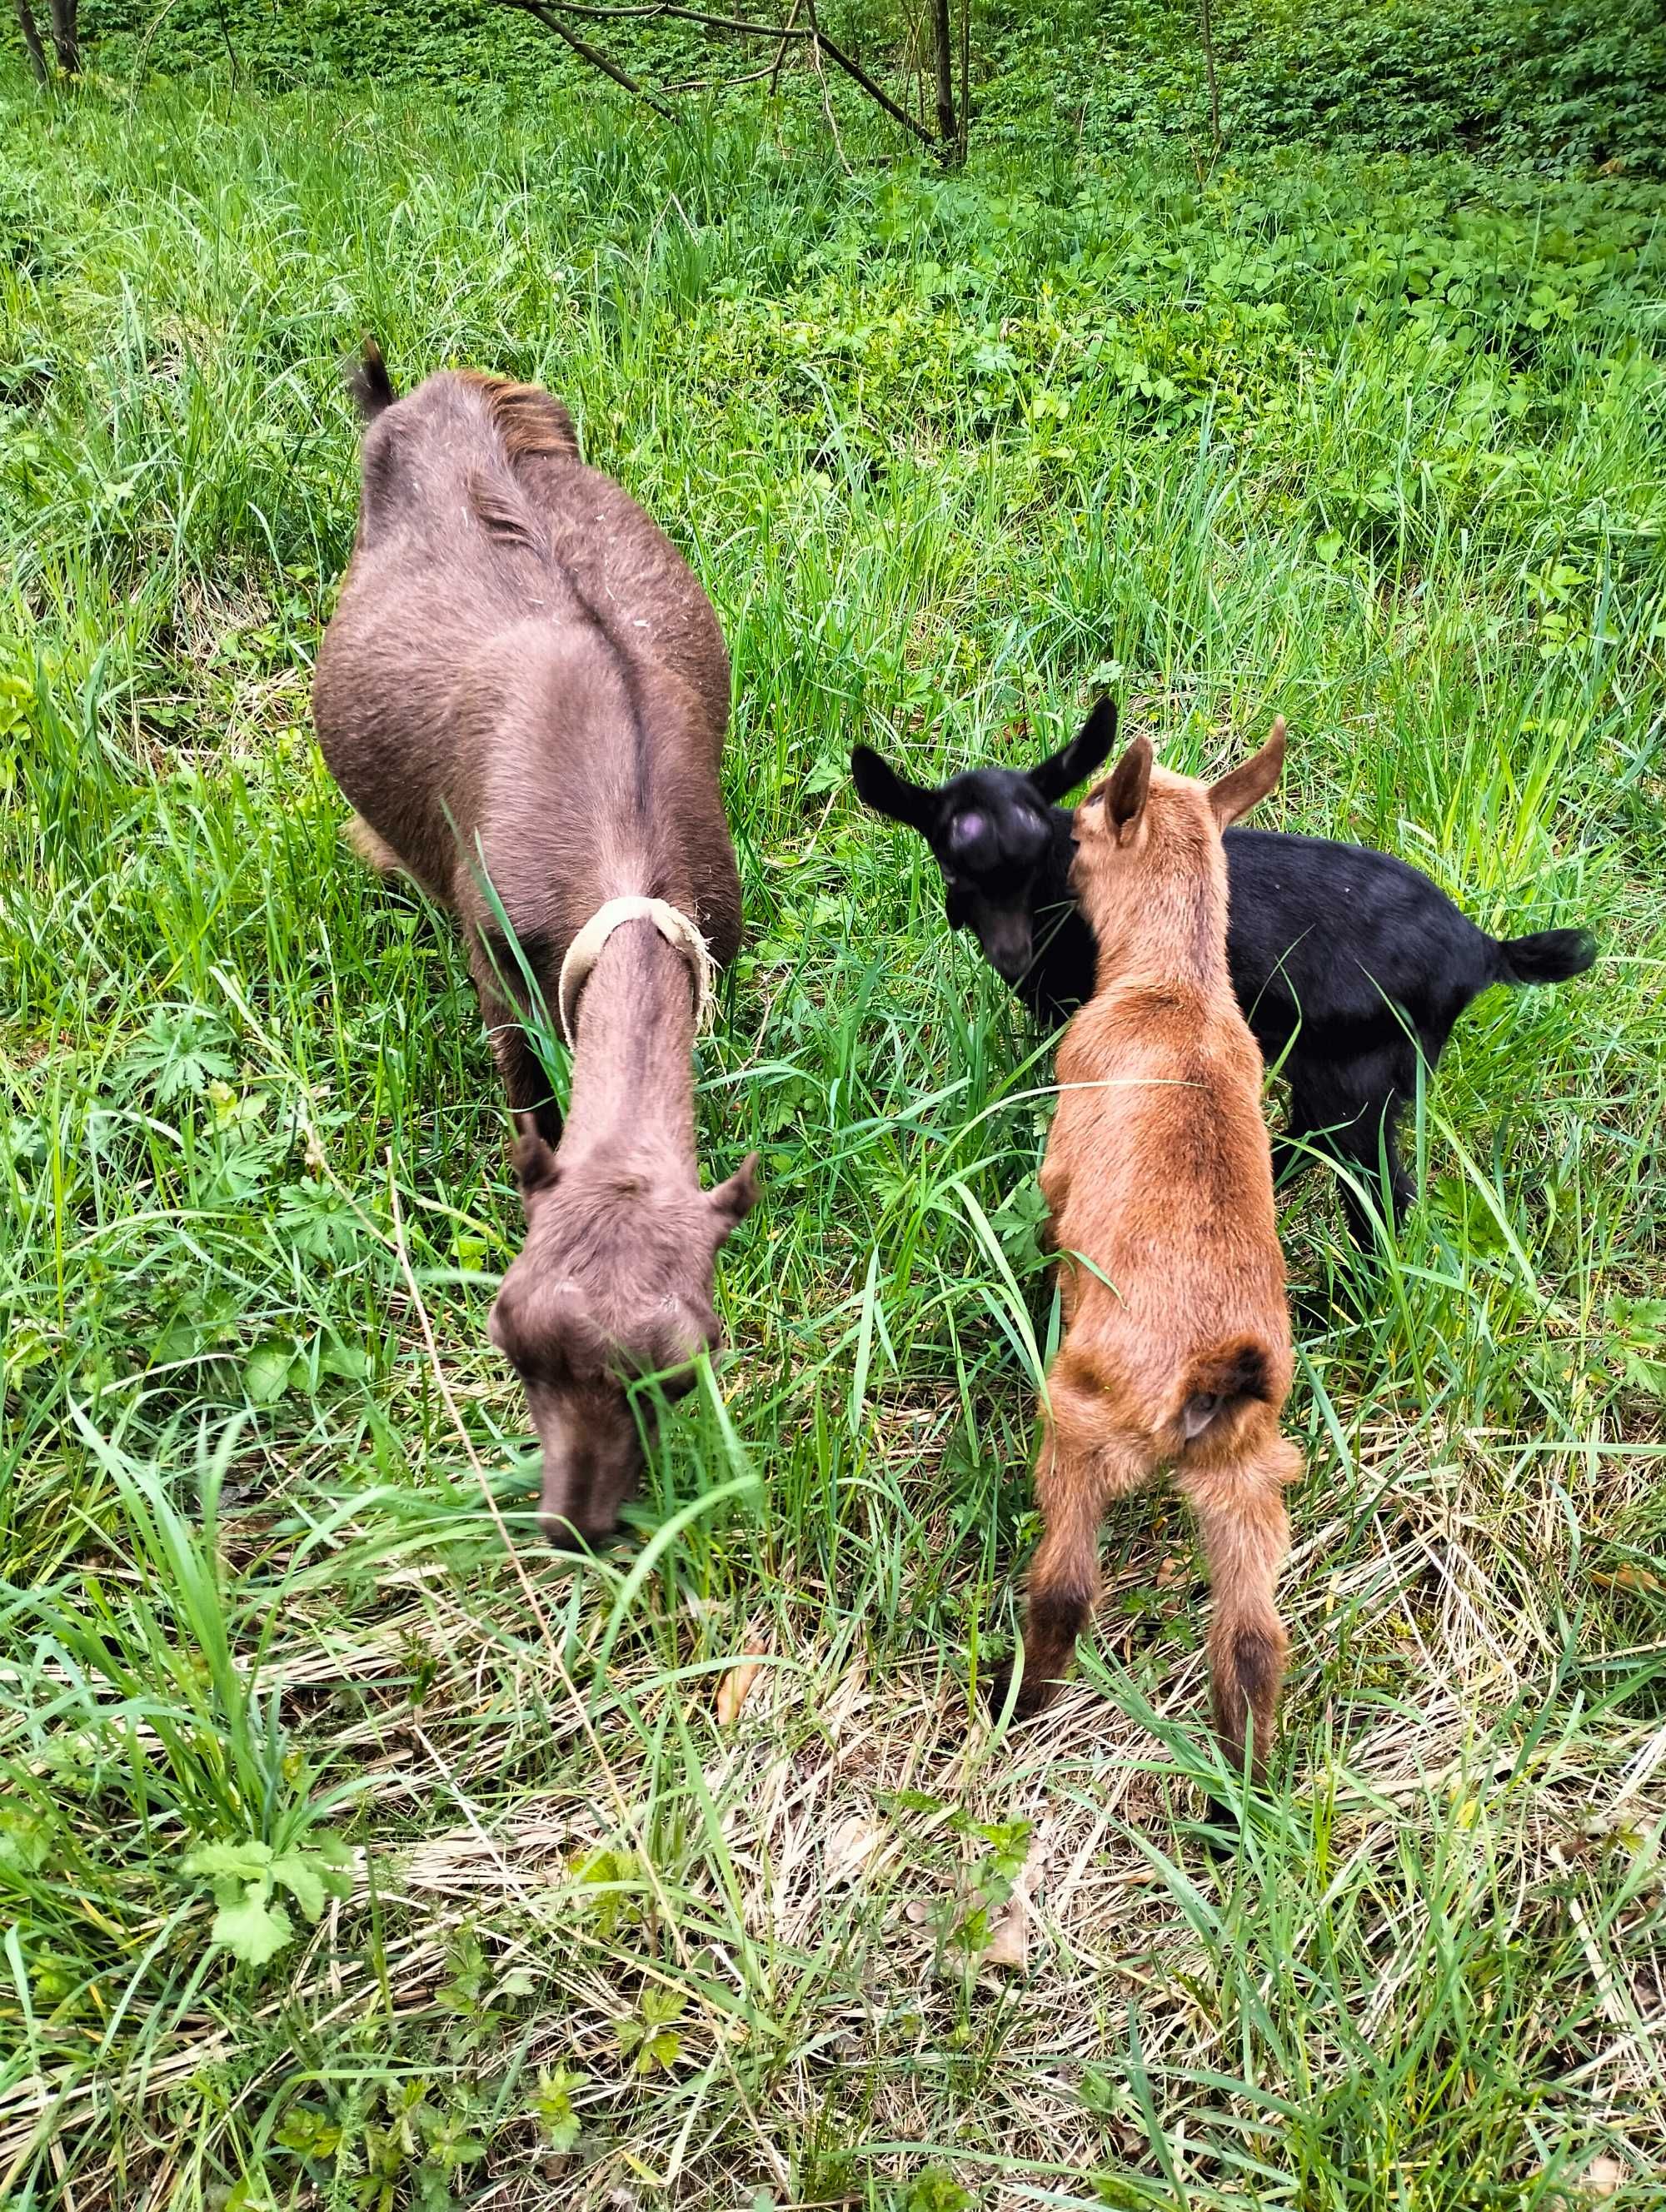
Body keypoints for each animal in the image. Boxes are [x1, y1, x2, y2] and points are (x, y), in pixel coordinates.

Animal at [309, 353, 752, 1548]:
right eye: (511, 1346)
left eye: (680, 1374)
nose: (574, 1523)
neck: (613, 825)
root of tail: (437, 391)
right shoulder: (494, 954)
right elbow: (525, 1091)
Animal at [1000, 716, 1300, 1787]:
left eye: (1082, 825)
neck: (1174, 986)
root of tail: (1214, 1374)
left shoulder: (1061, 1147)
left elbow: (1050, 1213)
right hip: (1249, 1489)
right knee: (1250, 1643)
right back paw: (1235, 1798)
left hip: (1079, 1429)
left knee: (1063, 1589)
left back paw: (1014, 1705)